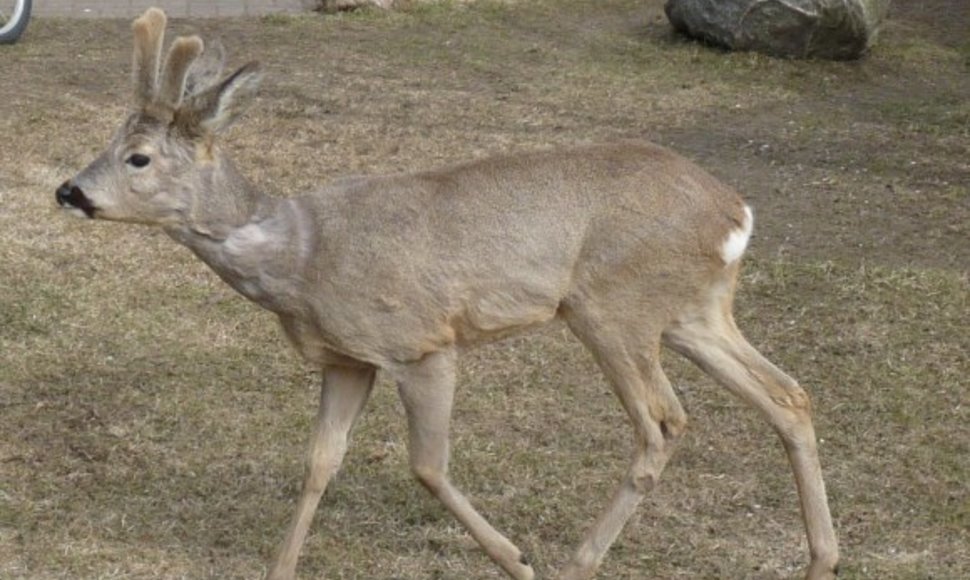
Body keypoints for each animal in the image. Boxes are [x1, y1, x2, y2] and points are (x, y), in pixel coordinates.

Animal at [56, 9, 836, 580]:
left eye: (138, 157)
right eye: (109, 143)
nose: (70, 191)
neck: (302, 257)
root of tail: (735, 211)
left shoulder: (421, 341)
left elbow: (427, 465)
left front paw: (516, 559)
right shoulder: (348, 359)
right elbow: (318, 464)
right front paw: (279, 569)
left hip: (612, 305)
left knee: (664, 423)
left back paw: (576, 562)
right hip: (692, 310)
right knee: (788, 394)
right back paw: (821, 559)